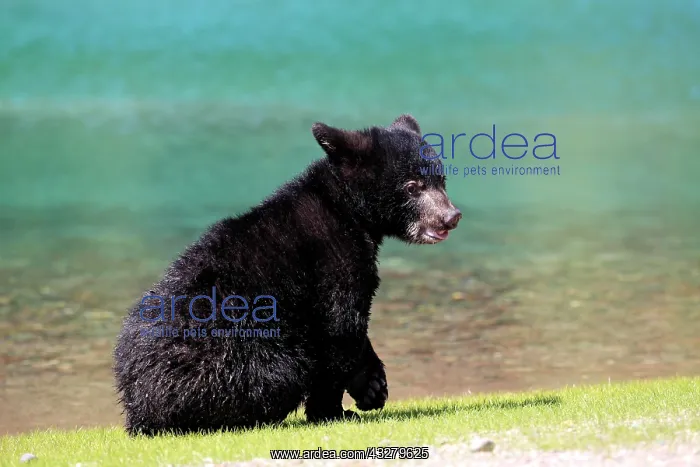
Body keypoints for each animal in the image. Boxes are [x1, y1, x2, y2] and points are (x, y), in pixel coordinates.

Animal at [113, 114, 462, 436]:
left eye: (441, 180)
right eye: (412, 187)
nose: (451, 216)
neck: (345, 211)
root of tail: (137, 407)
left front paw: (373, 384)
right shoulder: (333, 264)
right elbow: (340, 328)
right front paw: (334, 409)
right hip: (247, 357)